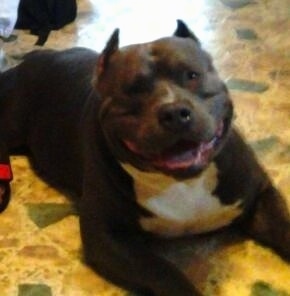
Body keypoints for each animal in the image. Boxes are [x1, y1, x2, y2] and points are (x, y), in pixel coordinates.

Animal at [0, 20, 288, 294]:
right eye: (133, 90)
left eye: (192, 75)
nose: (174, 112)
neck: (183, 183)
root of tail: (33, 58)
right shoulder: (107, 237)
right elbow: (164, 272)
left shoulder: (260, 196)